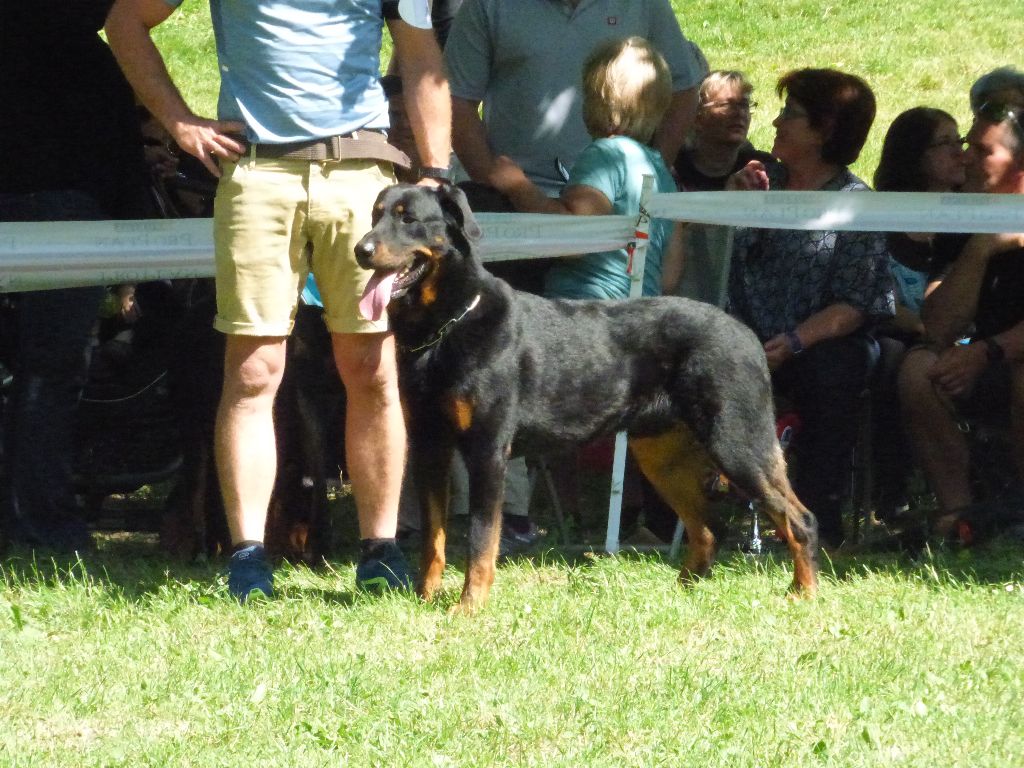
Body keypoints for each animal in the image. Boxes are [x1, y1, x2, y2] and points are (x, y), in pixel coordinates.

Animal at [356, 183, 819, 610]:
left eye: (409, 219)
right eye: (376, 214)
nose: (362, 250)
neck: (444, 326)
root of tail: (747, 334)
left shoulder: (488, 450)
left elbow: (480, 540)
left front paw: (469, 607)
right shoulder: (430, 445)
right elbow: (433, 537)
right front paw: (424, 598)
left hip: (737, 442)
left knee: (800, 520)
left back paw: (803, 593)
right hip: (663, 455)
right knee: (707, 529)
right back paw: (679, 597)